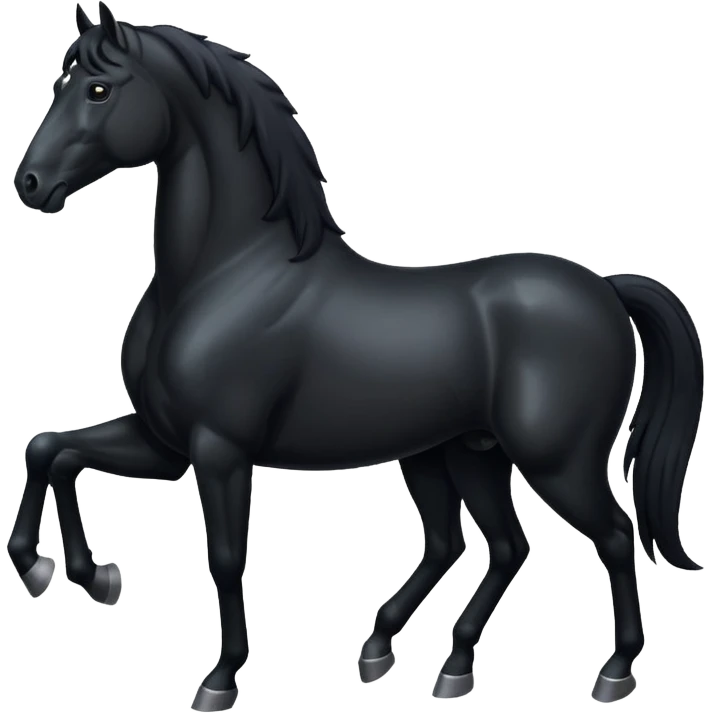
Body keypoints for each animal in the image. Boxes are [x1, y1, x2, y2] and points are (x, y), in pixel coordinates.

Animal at [10, 3, 705, 710]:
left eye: (99, 89)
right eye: (61, 83)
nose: (30, 184)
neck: (225, 274)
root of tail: (606, 288)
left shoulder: (219, 448)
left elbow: (226, 556)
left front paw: (219, 678)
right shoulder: (165, 443)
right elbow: (51, 450)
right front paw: (75, 573)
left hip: (555, 461)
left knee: (611, 537)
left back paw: (613, 671)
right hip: (461, 453)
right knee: (490, 545)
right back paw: (423, 660)